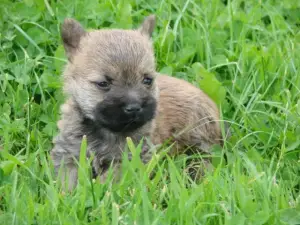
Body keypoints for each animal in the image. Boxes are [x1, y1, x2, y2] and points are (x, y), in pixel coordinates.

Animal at [50, 14, 221, 190]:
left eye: (147, 80)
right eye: (103, 83)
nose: (134, 108)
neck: (107, 131)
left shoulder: (130, 160)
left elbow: (110, 179)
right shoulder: (69, 154)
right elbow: (68, 180)